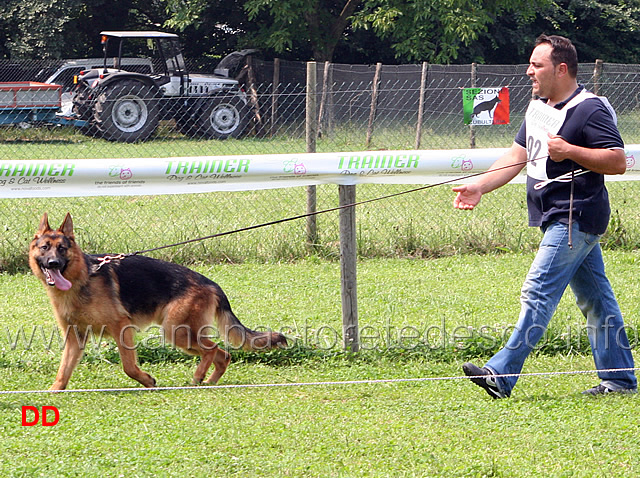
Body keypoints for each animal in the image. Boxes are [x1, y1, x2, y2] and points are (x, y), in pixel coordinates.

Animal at [31, 212, 286, 388]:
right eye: (45, 248)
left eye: (62, 249)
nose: (53, 263)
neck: (82, 278)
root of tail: (211, 284)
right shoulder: (74, 338)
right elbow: (63, 372)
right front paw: (54, 392)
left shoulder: (121, 327)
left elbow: (129, 366)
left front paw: (147, 381)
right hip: (183, 334)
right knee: (224, 355)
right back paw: (208, 381)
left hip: (176, 331)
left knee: (212, 349)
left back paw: (198, 376)